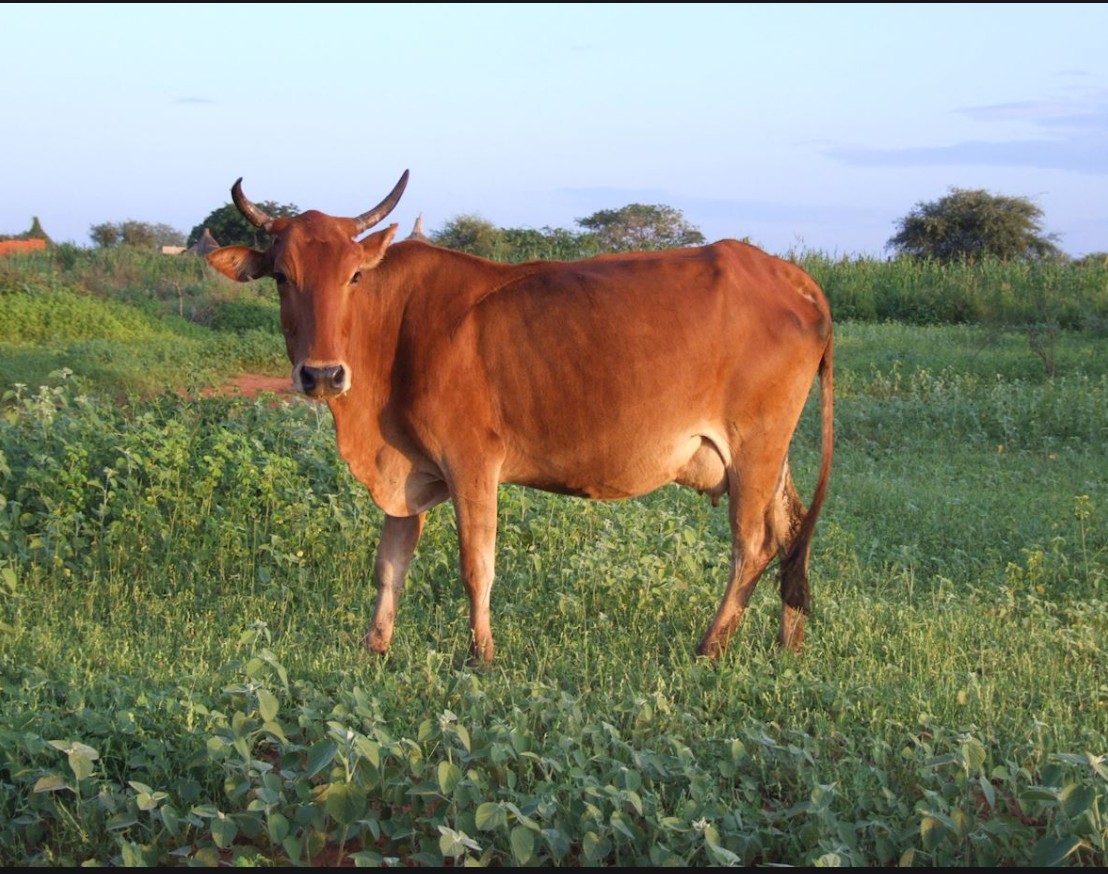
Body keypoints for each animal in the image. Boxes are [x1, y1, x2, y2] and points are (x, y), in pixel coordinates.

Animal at [206, 171, 834, 665]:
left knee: (752, 546)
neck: (394, 330)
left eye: (353, 276)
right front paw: (374, 646)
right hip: (768, 456)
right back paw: (788, 643)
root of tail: (785, 273)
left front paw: (480, 654)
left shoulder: (472, 461)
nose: (322, 375)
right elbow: (390, 563)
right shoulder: (407, 469)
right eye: (282, 276)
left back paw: (709, 646)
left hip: (754, 449)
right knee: (789, 530)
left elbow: (475, 564)